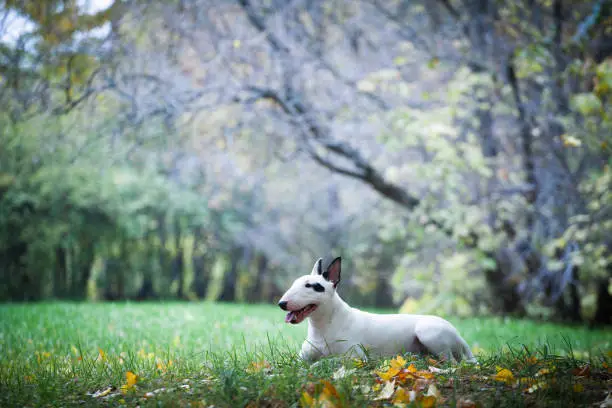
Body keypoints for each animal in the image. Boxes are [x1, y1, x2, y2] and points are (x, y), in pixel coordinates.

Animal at [280, 258, 476, 364]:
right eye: (294, 283)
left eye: (310, 286)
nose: (281, 303)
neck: (323, 327)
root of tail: (458, 335)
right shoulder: (301, 358)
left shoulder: (355, 357)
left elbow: (329, 360)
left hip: (428, 332)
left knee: (451, 361)